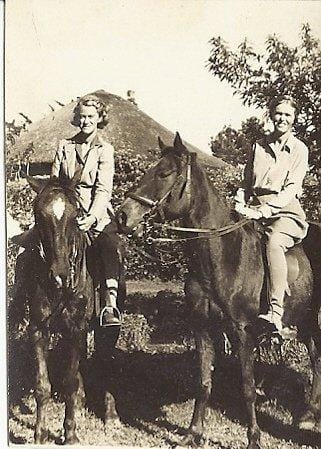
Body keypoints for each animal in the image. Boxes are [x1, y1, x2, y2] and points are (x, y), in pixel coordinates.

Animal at [20, 173, 122, 442]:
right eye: (38, 214)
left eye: (75, 214)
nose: (60, 276)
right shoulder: (39, 329)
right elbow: (42, 385)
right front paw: (40, 434)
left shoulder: (76, 329)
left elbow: (68, 383)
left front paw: (71, 434)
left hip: (107, 329)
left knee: (106, 363)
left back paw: (111, 416)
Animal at [116, 133, 320, 448]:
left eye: (164, 173)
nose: (123, 216)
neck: (221, 256)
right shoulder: (202, 327)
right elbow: (203, 382)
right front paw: (193, 433)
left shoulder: (242, 332)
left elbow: (247, 387)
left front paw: (253, 438)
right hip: (306, 320)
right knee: (316, 358)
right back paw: (308, 415)